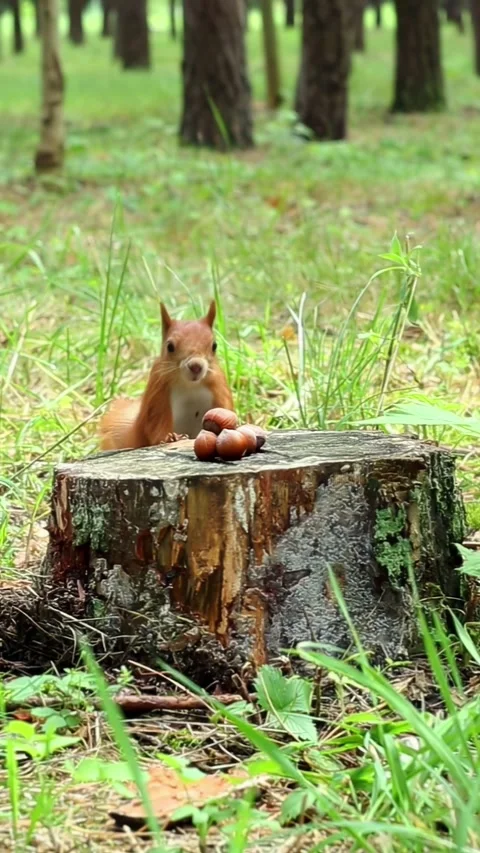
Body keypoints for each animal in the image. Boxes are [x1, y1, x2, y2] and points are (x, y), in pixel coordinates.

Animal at [99, 300, 234, 451]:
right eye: (170, 346)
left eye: (214, 345)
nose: (196, 366)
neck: (190, 385)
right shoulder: (158, 393)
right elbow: (156, 427)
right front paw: (171, 438)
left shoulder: (219, 387)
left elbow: (226, 409)